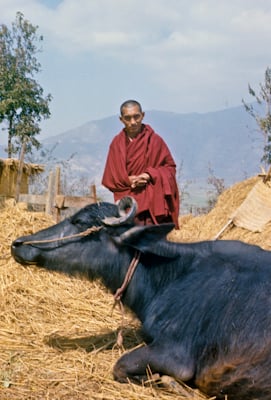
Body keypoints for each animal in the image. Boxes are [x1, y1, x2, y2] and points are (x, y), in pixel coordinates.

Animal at [11, 198, 271, 400]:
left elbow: (121, 366)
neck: (171, 272)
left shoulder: (176, 356)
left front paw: (169, 382)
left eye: (80, 222)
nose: (18, 244)